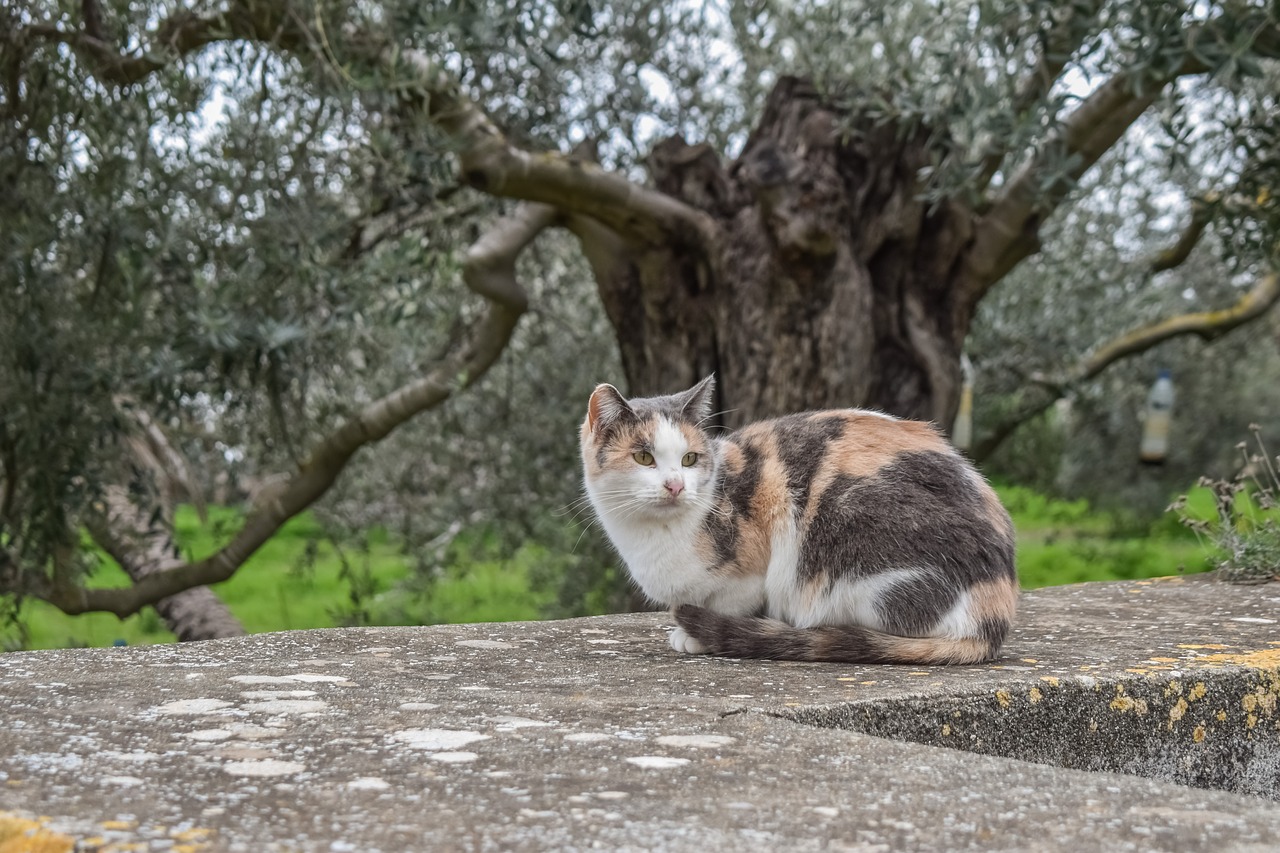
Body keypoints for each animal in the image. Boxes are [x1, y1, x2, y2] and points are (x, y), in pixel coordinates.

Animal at [583, 373, 1018, 666]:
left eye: (690, 458)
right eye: (644, 457)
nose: (675, 485)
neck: (652, 535)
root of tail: (995, 614)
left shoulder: (752, 575)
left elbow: (733, 605)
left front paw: (696, 636)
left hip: (853, 543)